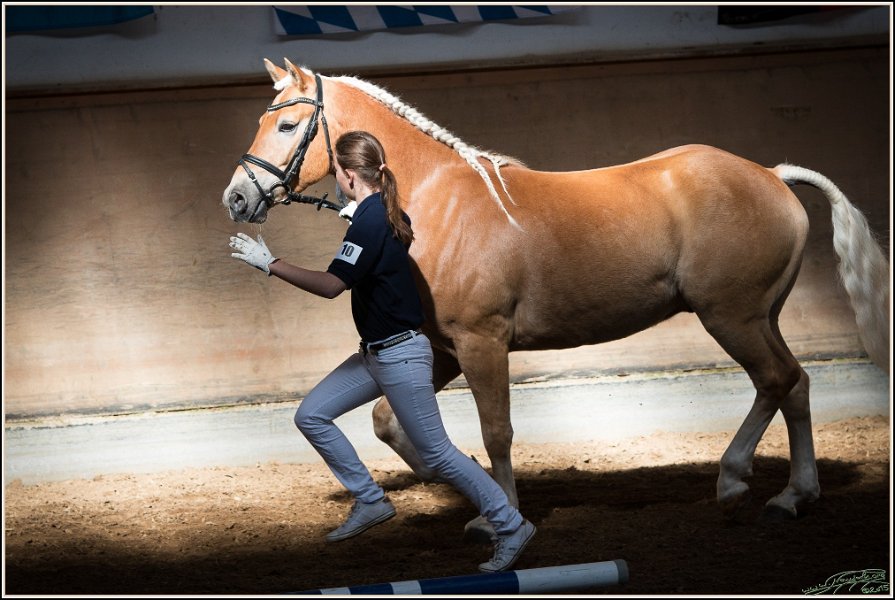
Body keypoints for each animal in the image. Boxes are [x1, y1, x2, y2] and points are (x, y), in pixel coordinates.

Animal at [223, 59, 889, 538]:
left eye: (287, 125)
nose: (237, 197)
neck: (434, 203)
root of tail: (772, 176)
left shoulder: (483, 342)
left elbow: (497, 431)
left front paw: (502, 516)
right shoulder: (443, 347)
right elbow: (395, 425)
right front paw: (475, 492)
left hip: (732, 316)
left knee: (776, 381)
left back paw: (737, 484)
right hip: (759, 316)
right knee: (795, 384)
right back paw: (792, 495)